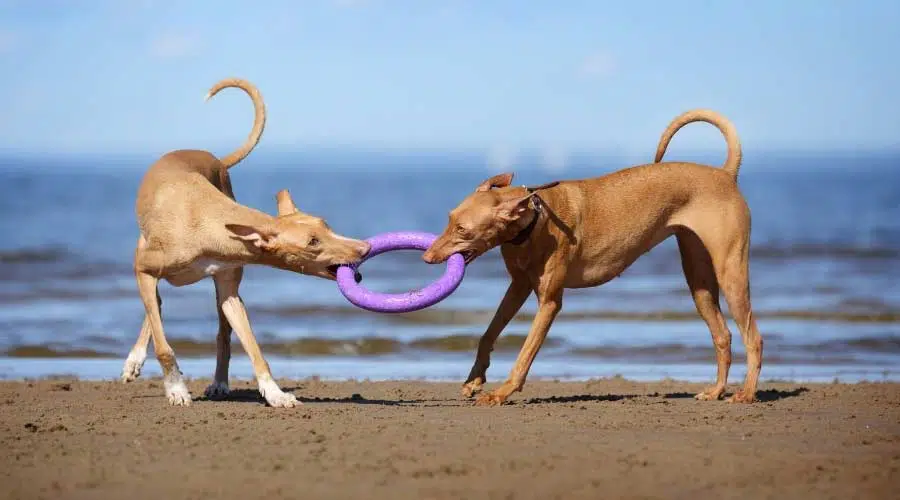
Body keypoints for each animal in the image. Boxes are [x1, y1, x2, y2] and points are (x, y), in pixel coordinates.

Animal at [426, 109, 764, 406]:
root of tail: (724, 174)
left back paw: (746, 394)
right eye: (449, 218)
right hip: (699, 281)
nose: (427, 257)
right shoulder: (518, 287)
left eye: (463, 230)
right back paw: (716, 391)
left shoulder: (549, 302)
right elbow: (488, 333)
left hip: (731, 274)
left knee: (753, 337)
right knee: (723, 335)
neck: (534, 219)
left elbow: (525, 354)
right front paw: (473, 380)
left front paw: (502, 392)